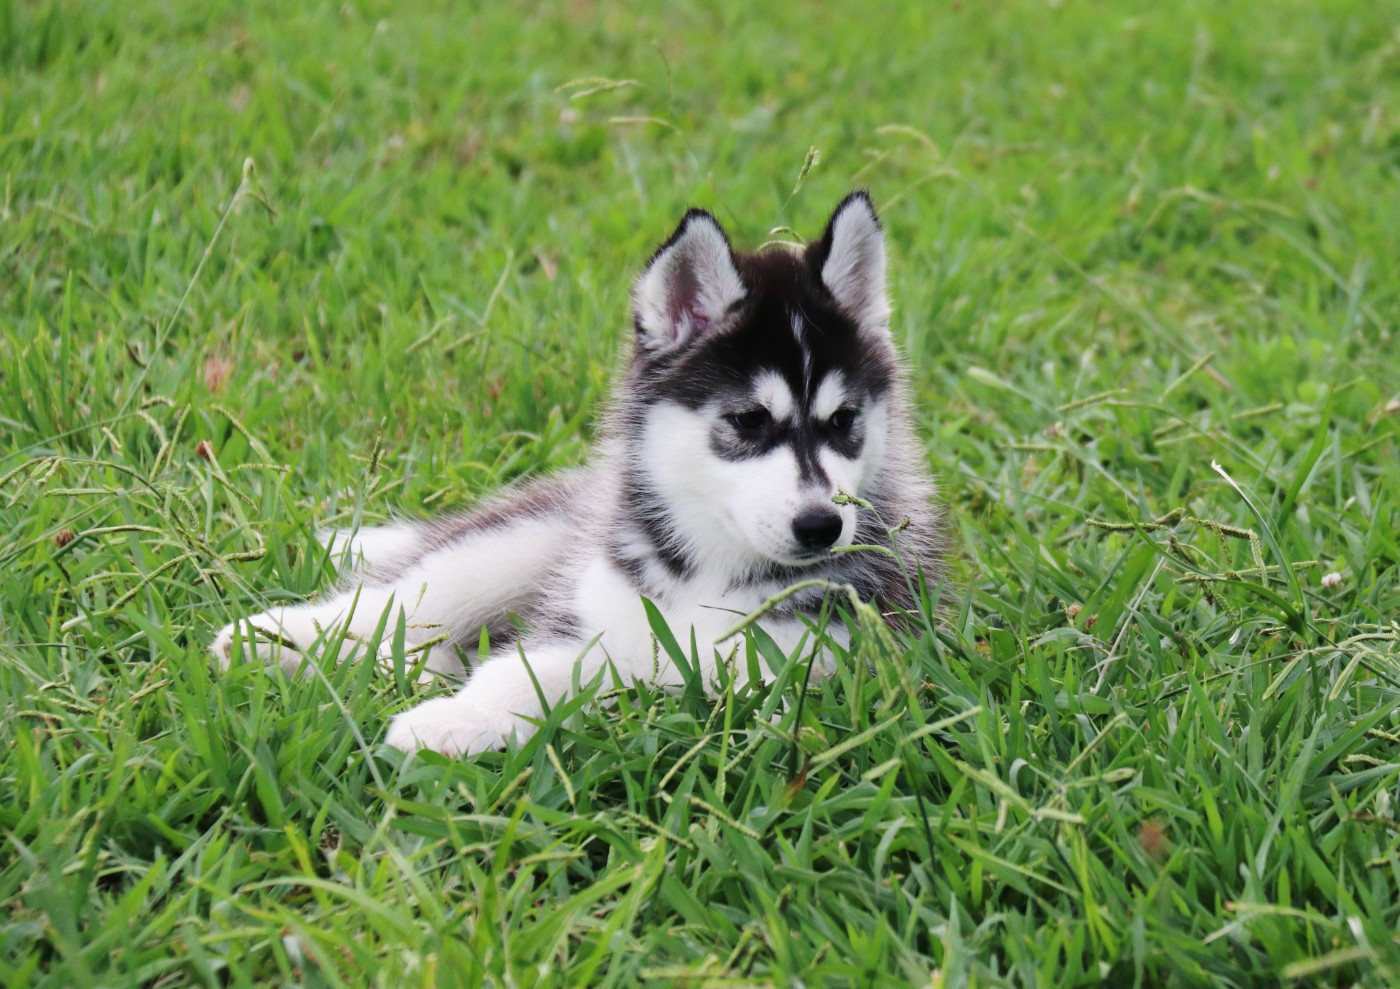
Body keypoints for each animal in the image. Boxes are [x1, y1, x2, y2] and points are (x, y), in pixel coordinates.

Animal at [211, 191, 944, 756]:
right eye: (748, 421)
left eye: (844, 420)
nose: (822, 526)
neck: (710, 575)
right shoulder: (588, 621)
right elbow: (515, 672)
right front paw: (459, 717)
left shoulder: (807, 663)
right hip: (507, 550)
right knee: (397, 600)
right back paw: (276, 636)